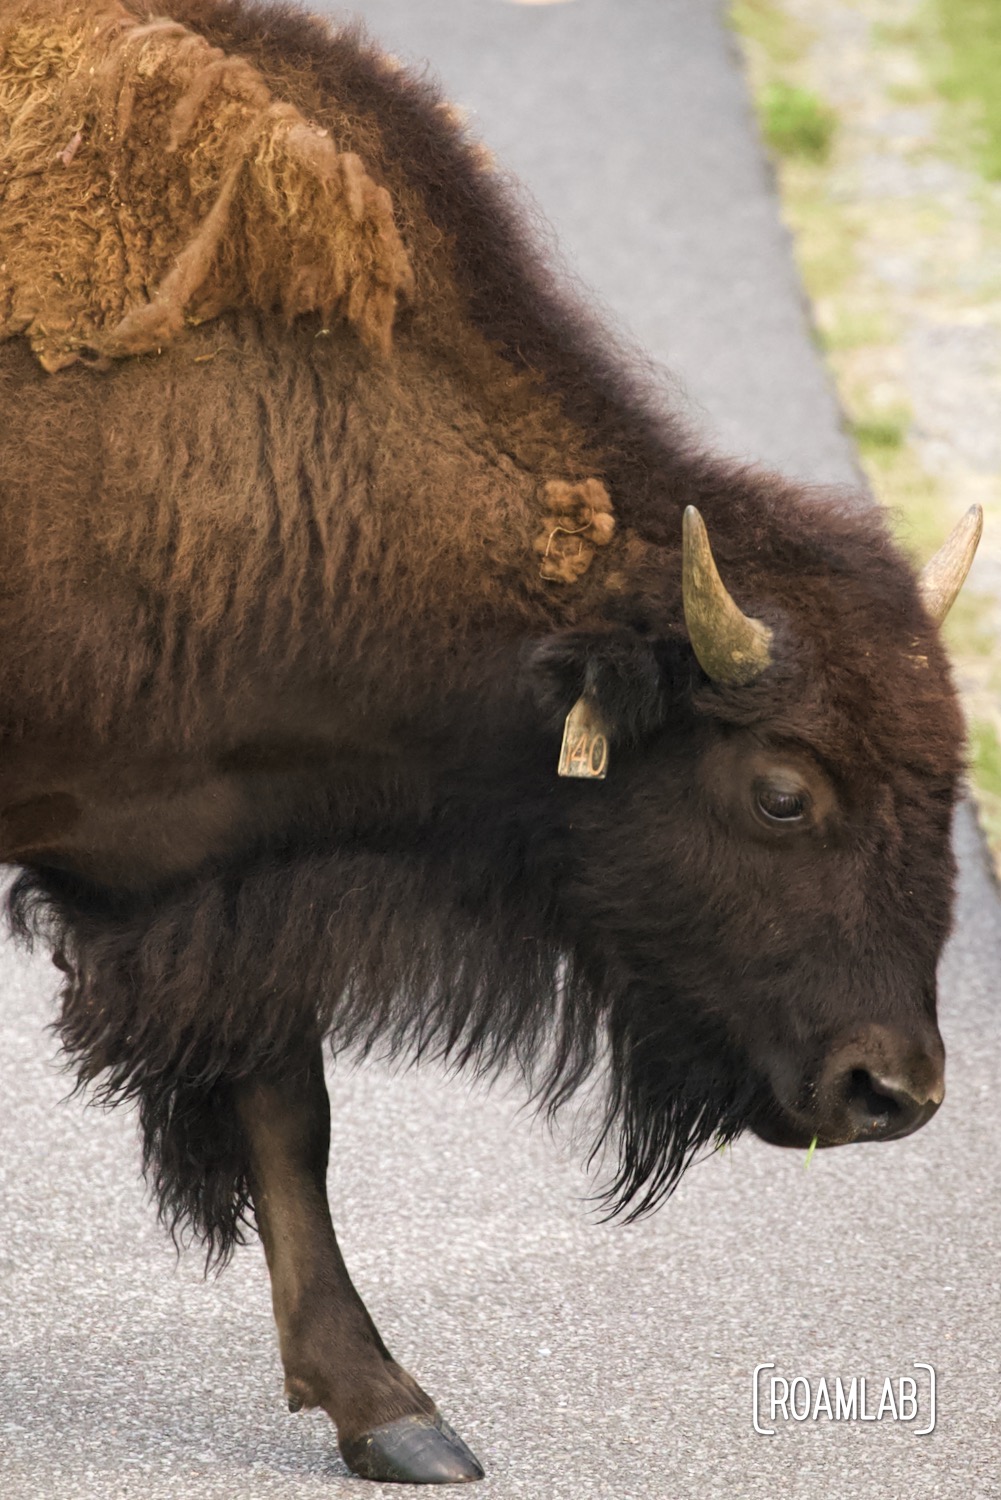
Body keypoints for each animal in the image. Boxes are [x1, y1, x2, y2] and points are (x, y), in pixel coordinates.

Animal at [0, 0, 984, 1482]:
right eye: (780, 792)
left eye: (947, 783)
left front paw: (396, 1417)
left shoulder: (230, 893)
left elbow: (291, 1116)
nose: (892, 1088)